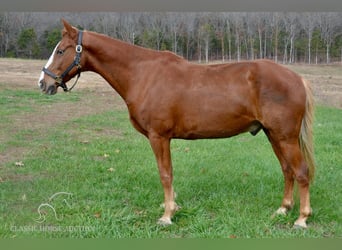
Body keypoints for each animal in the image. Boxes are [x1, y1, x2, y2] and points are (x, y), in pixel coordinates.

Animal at [38, 20, 316, 229]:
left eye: (61, 51)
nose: (43, 83)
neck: (142, 74)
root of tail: (297, 78)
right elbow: (168, 173)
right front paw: (170, 206)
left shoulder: (159, 136)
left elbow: (165, 174)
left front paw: (167, 215)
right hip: (273, 134)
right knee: (287, 170)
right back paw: (283, 209)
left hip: (285, 137)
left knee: (300, 172)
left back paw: (302, 219)